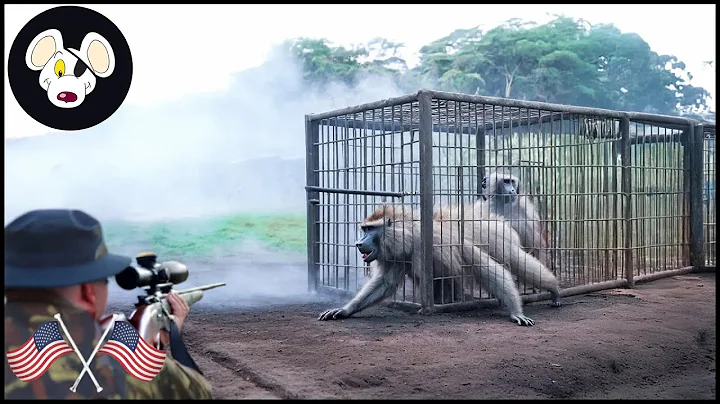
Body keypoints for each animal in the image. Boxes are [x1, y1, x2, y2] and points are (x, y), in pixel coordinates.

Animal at [317, 204, 547, 326]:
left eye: (370, 229)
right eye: (364, 229)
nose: (358, 243)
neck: (407, 233)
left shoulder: (432, 243)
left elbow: (489, 270)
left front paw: (517, 312)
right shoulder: (396, 255)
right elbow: (386, 283)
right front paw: (346, 310)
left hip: (496, 239)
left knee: (514, 260)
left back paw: (550, 291)